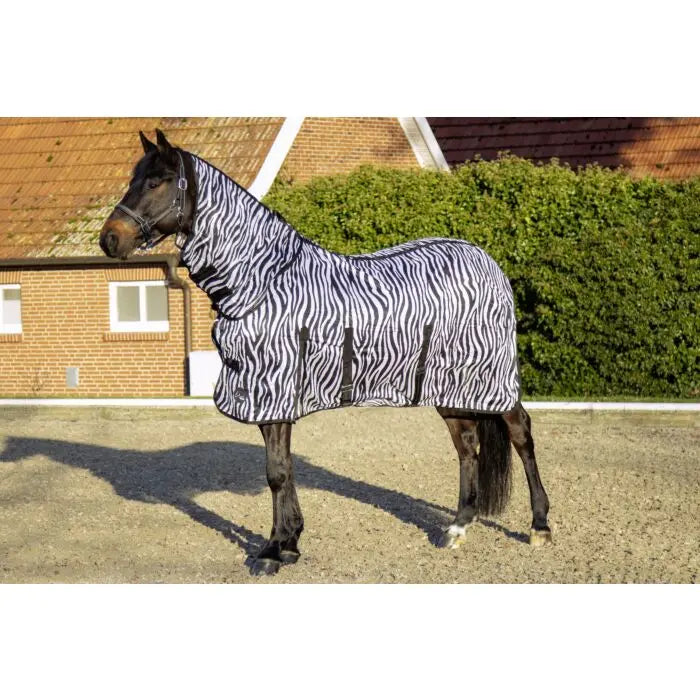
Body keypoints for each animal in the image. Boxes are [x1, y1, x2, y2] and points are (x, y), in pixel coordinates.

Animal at [100, 129, 552, 575]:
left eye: (156, 182)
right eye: (132, 178)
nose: (109, 239)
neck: (263, 283)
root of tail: (487, 261)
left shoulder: (275, 390)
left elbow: (277, 472)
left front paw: (273, 551)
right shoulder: (269, 398)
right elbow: (283, 469)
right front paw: (288, 543)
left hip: (493, 377)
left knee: (521, 434)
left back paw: (540, 526)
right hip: (450, 386)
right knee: (467, 446)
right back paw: (458, 527)